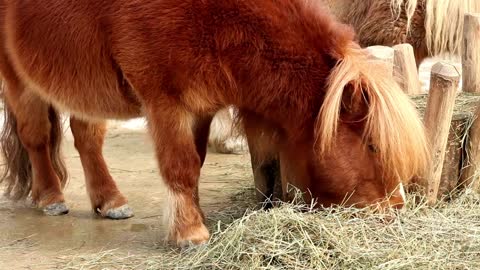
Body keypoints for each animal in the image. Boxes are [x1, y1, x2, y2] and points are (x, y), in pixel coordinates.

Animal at [0, 0, 428, 245]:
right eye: (372, 145)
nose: (396, 209)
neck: (215, 19)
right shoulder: (166, 104)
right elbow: (181, 166)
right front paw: (191, 232)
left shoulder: (200, 107)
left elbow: (197, 161)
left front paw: (194, 217)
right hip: (18, 78)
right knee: (36, 137)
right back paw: (50, 197)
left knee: (87, 138)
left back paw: (110, 201)